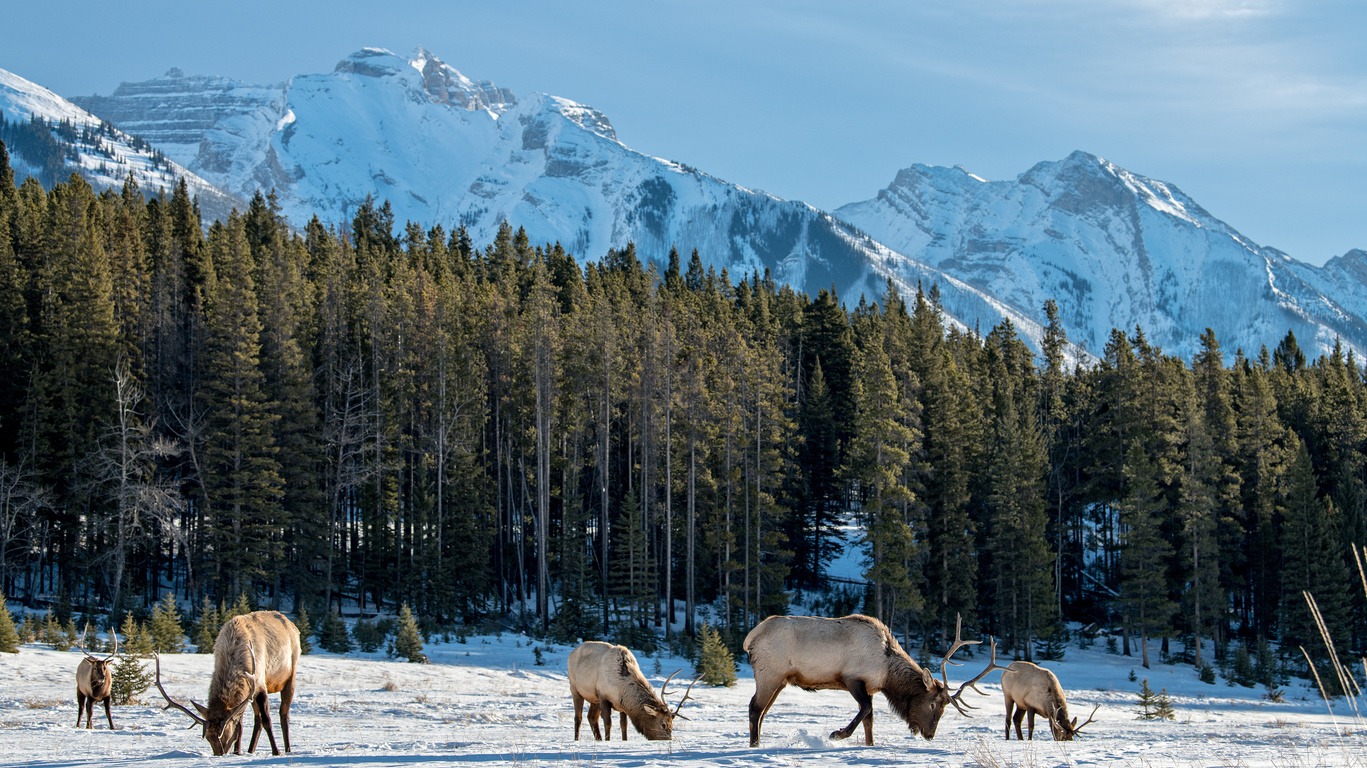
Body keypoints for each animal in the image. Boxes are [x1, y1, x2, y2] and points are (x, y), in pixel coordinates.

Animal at [156, 609, 303, 754]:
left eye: (225, 735)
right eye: (208, 738)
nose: (220, 754)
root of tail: (292, 625)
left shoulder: (260, 684)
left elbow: (267, 720)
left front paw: (276, 751)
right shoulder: (246, 694)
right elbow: (240, 724)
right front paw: (237, 751)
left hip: (290, 675)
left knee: (283, 715)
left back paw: (287, 749)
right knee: (258, 720)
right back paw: (250, 750)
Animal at [565, 636, 694, 737]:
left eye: (672, 723)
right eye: (663, 724)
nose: (669, 739)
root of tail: (571, 654)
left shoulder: (622, 705)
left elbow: (624, 726)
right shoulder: (603, 696)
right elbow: (608, 723)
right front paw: (607, 741)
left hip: (593, 699)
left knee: (591, 717)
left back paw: (598, 739)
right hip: (575, 689)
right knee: (578, 717)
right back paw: (577, 739)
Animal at [743, 609, 1000, 743]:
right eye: (933, 704)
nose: (929, 735)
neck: (887, 672)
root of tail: (750, 637)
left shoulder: (869, 687)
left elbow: (870, 718)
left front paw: (869, 744)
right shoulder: (853, 678)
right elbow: (866, 709)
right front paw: (838, 734)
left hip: (780, 681)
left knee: (762, 711)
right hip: (770, 673)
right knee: (755, 708)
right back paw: (755, 745)